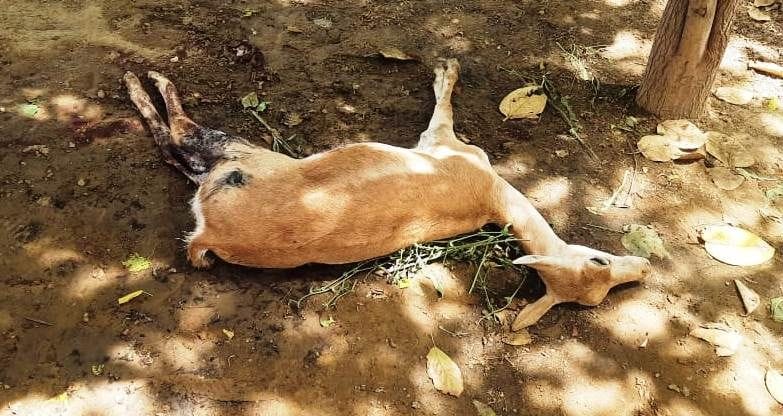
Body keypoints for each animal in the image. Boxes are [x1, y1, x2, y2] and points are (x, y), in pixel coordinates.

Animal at [123, 58, 651, 330]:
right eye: (601, 264)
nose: (645, 268)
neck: (492, 196)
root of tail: (207, 235)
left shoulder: (439, 143)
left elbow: (442, 105)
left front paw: (446, 66)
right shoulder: (442, 147)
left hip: (233, 158)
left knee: (176, 136)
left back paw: (140, 79)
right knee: (173, 144)